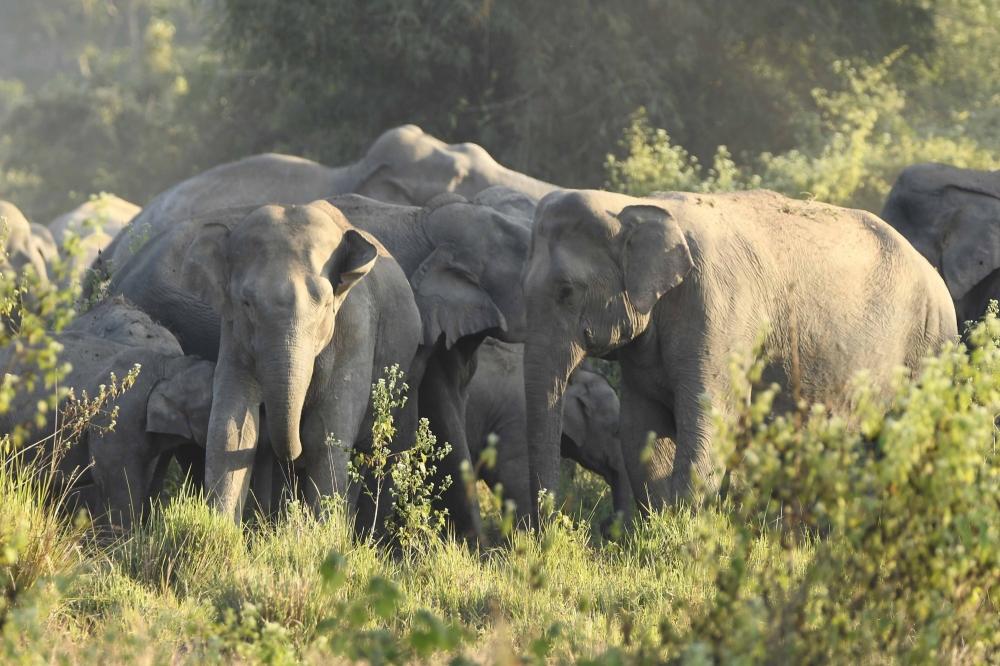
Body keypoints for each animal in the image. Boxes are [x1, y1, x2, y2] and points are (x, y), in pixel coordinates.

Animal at [104, 192, 532, 540]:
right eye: (246, 303)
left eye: (325, 304)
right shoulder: (235, 334)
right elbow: (234, 427)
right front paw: (217, 534)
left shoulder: (357, 326)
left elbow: (326, 430)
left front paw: (317, 540)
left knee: (383, 442)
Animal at [520, 187, 956, 520]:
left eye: (566, 291)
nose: (558, 525)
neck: (635, 205)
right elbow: (642, 432)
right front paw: (658, 528)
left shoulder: (720, 313)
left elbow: (712, 420)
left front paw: (681, 536)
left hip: (929, 346)